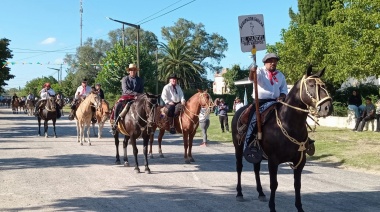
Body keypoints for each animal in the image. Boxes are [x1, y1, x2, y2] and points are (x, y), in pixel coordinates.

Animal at [232, 65, 332, 211]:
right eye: (311, 85)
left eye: (324, 85)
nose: (327, 107)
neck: (288, 124)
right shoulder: (273, 161)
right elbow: (274, 184)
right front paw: (272, 207)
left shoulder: (300, 161)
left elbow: (297, 185)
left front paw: (299, 208)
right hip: (239, 149)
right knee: (239, 168)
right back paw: (239, 193)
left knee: (256, 169)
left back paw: (261, 193)